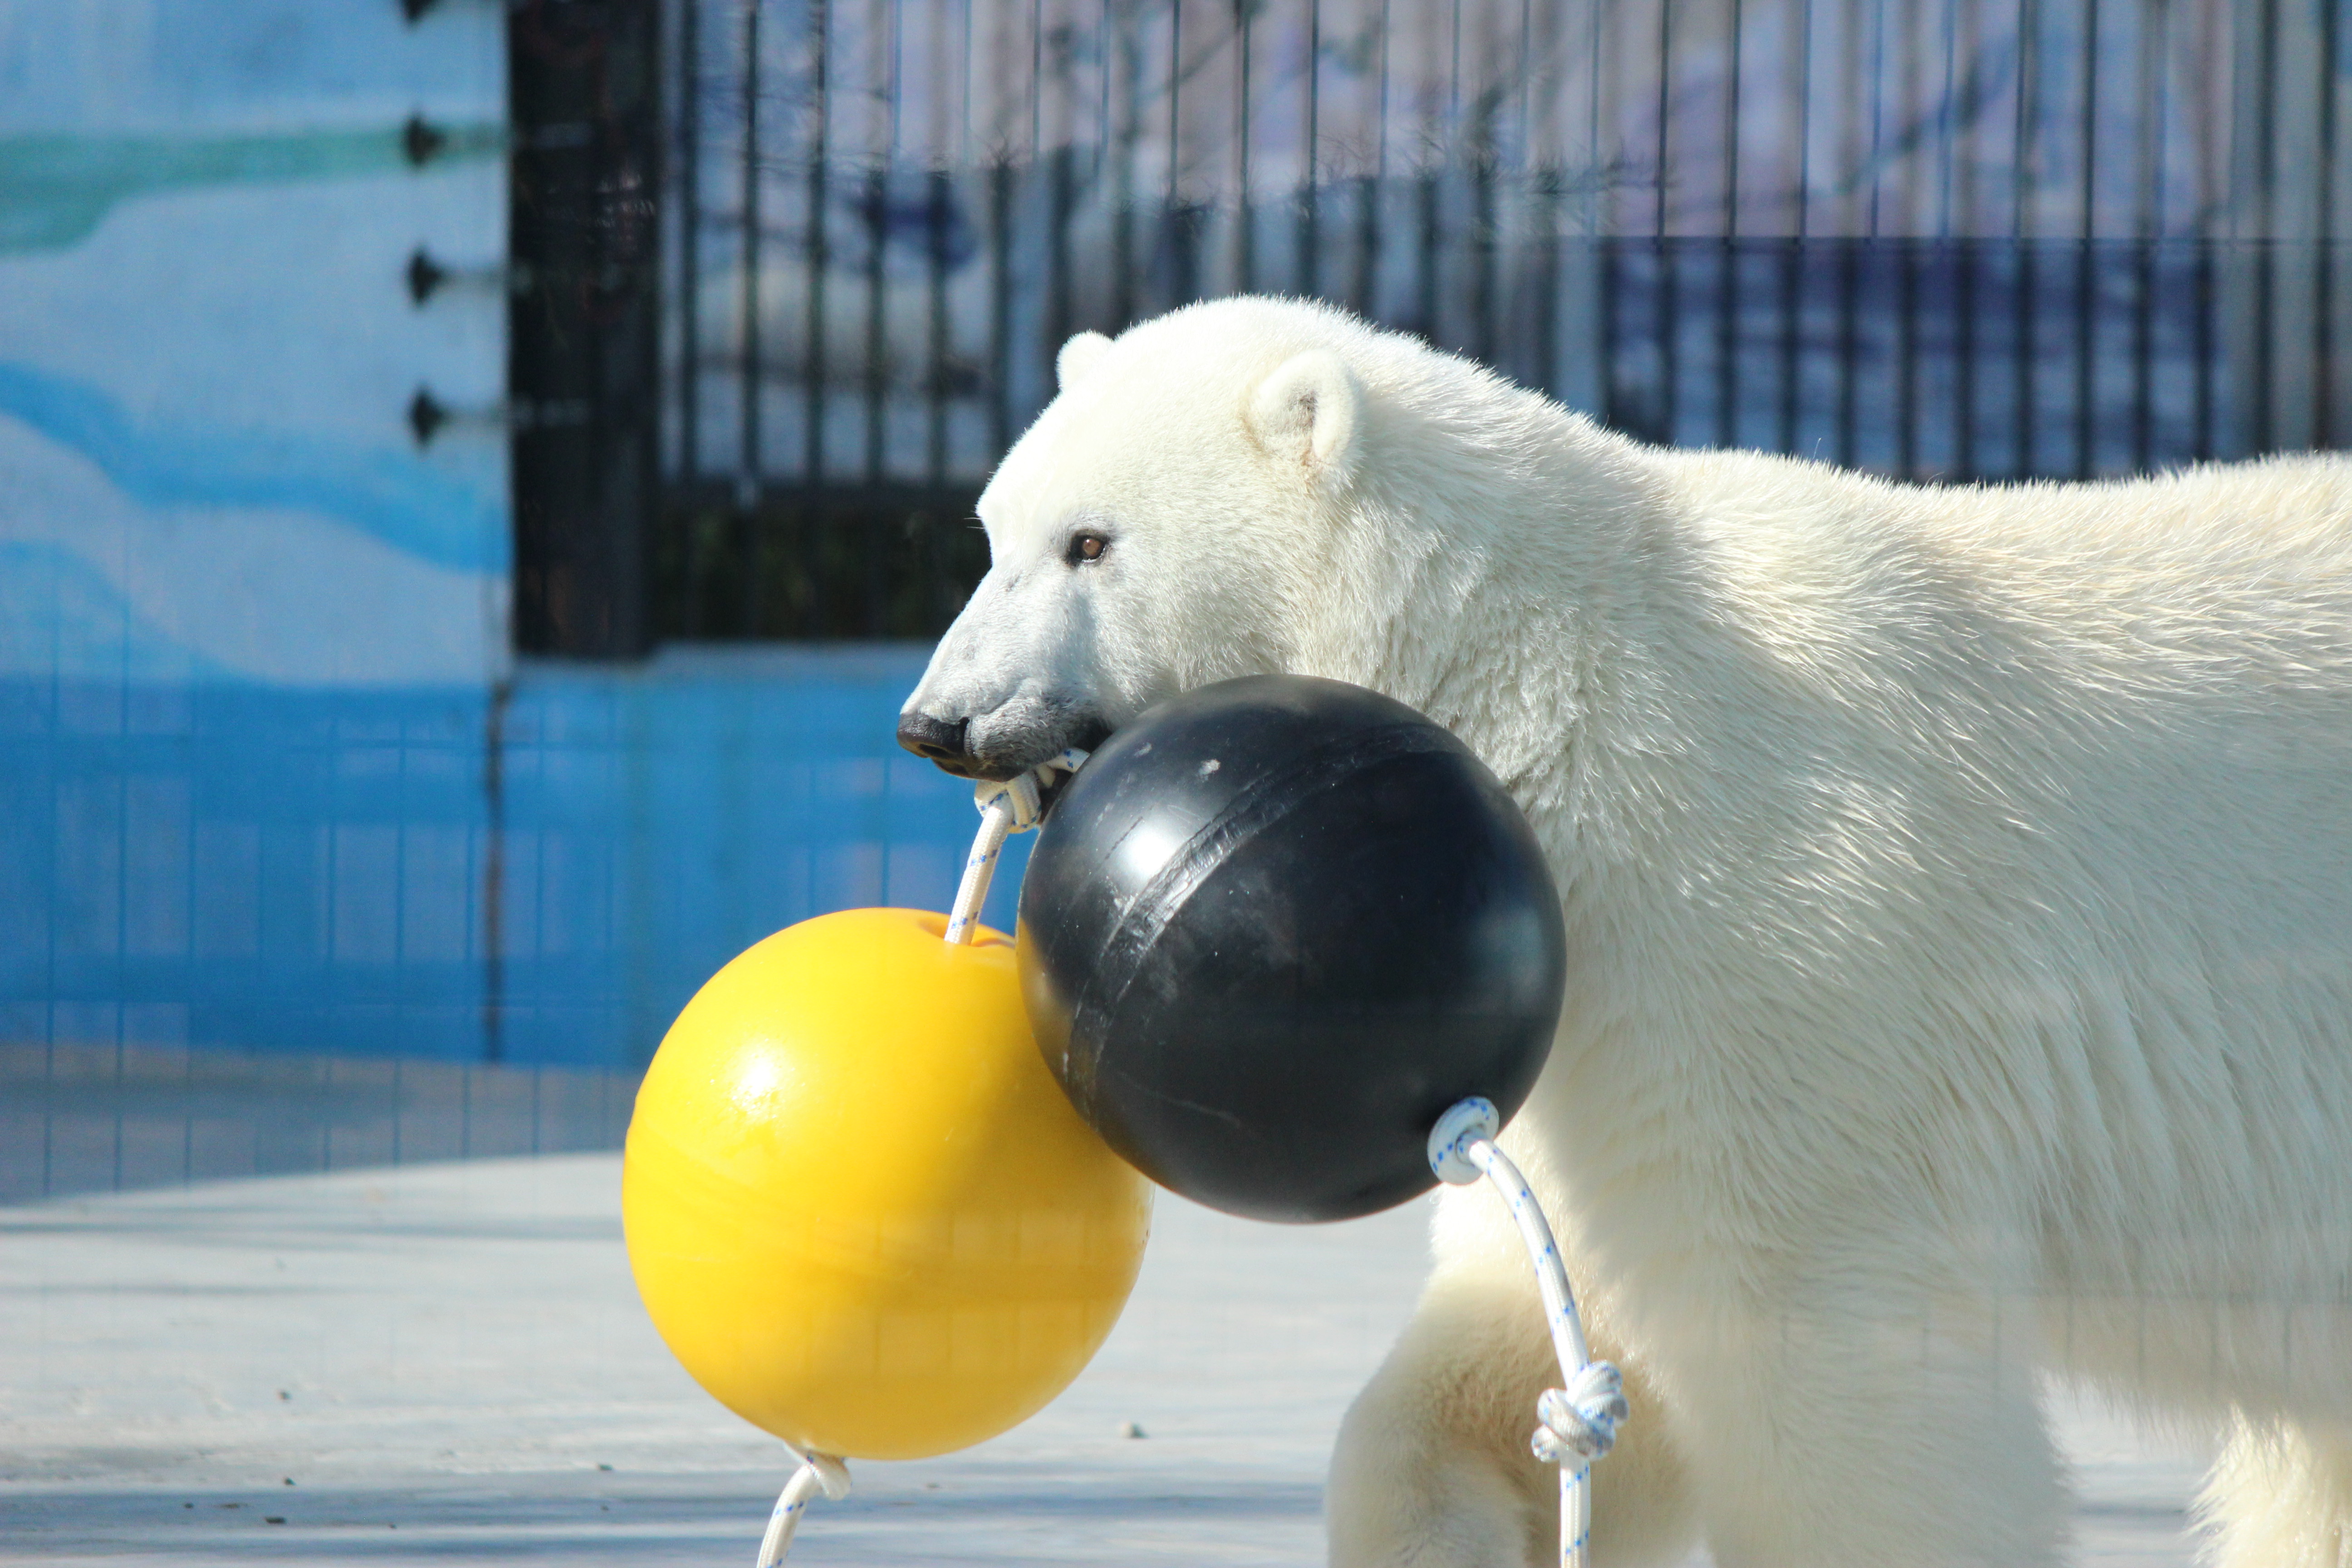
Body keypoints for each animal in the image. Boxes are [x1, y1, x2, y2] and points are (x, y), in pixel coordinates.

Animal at [898, 297, 2352, 1568]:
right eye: (991, 528)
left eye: (1092, 543)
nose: (939, 722)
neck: (1566, 691)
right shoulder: (1585, 1028)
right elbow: (1529, 1335)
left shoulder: (1778, 932)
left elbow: (1819, 1348)